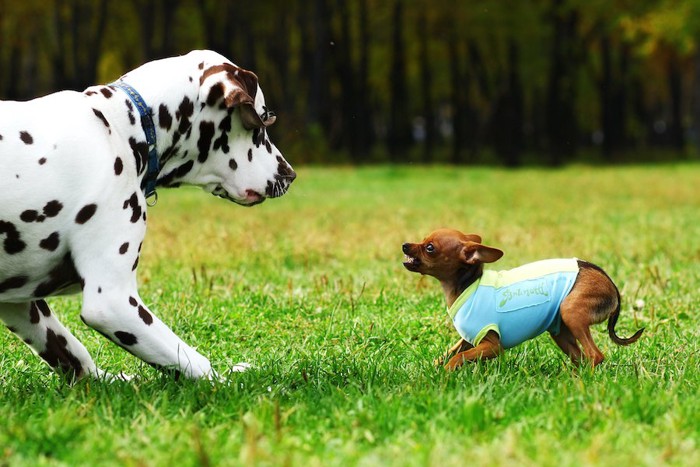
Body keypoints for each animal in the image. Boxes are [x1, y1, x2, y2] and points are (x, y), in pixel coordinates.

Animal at [402, 229, 644, 372]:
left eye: (430, 248)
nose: (405, 245)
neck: (468, 285)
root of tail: (611, 284)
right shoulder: (468, 340)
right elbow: (449, 353)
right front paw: (431, 369)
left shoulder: (492, 346)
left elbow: (458, 358)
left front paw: (445, 374)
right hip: (560, 330)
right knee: (581, 358)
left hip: (570, 311)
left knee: (596, 355)